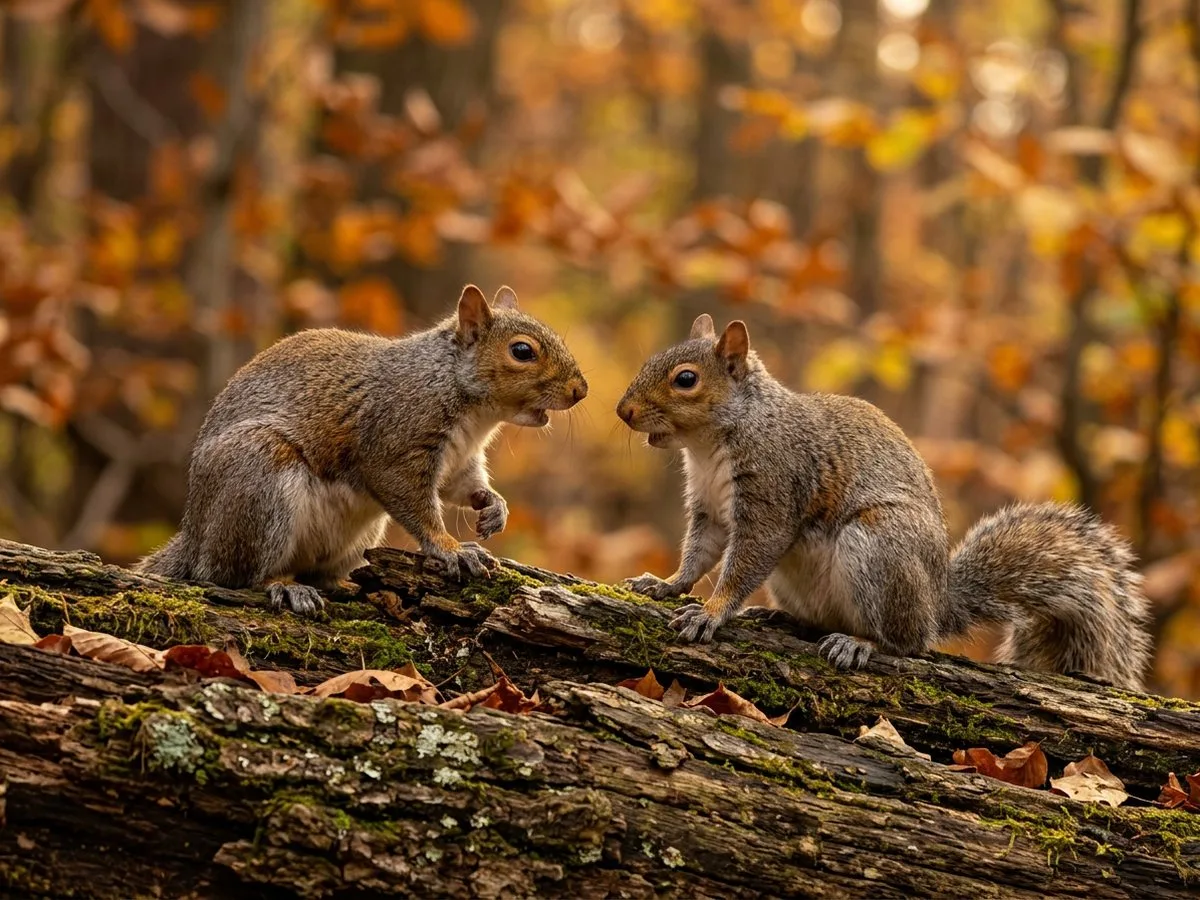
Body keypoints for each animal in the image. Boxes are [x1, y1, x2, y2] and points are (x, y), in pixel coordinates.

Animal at [136, 285, 587, 616]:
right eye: (522, 351)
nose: (580, 390)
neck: (475, 413)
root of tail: (196, 534)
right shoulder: (395, 443)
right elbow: (412, 502)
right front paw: (451, 548)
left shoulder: (460, 461)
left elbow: (462, 487)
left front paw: (493, 506)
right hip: (258, 484)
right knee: (237, 573)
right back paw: (283, 587)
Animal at [616, 314, 1152, 691]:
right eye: (647, 363)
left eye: (686, 380)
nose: (624, 412)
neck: (708, 446)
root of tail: (937, 603)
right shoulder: (708, 508)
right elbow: (698, 555)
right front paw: (665, 585)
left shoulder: (773, 489)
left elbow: (744, 561)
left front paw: (711, 612)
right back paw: (780, 617)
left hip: (878, 547)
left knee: (905, 642)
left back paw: (859, 643)